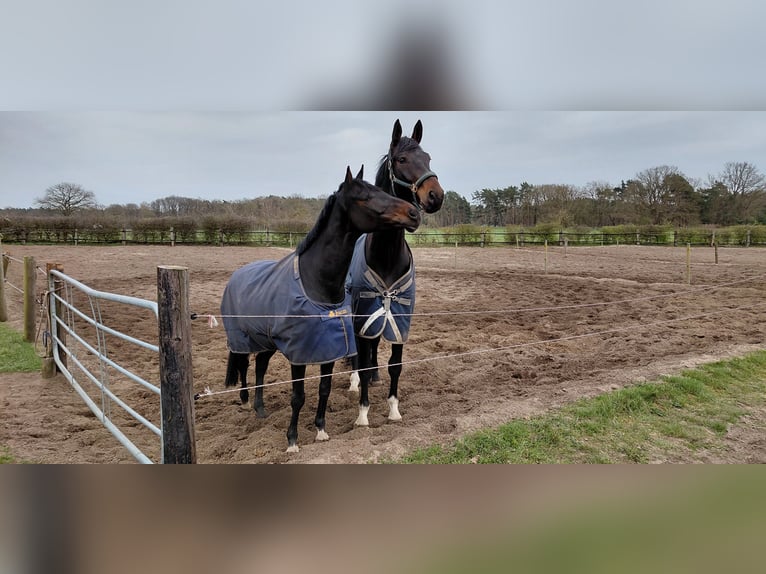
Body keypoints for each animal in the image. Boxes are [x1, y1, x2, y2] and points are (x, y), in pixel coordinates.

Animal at [221, 166, 421, 453]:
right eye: (365, 197)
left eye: (380, 189)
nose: (414, 213)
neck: (317, 283)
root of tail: (237, 274)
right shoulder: (299, 354)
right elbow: (298, 396)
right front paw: (292, 441)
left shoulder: (328, 349)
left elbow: (324, 388)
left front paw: (321, 431)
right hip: (243, 338)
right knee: (245, 364)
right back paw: (246, 401)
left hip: (267, 340)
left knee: (260, 365)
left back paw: (260, 408)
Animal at [346, 119, 444, 426]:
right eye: (401, 159)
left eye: (428, 158)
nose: (436, 196)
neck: (387, 255)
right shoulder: (364, 313)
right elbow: (363, 359)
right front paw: (363, 414)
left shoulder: (400, 317)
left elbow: (395, 365)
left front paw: (393, 409)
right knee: (359, 354)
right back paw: (355, 381)